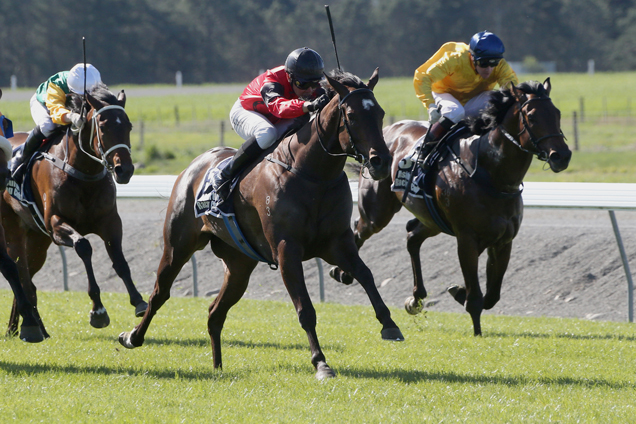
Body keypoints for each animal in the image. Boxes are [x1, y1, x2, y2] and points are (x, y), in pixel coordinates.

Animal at [2, 84, 147, 340]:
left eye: (128, 126)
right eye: (103, 127)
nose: (125, 170)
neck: (83, 174)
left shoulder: (110, 221)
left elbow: (120, 260)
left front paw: (138, 301)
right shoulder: (55, 224)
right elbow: (84, 246)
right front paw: (98, 311)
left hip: (37, 239)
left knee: (27, 278)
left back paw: (27, 327)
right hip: (13, 229)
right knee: (21, 274)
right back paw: (30, 327)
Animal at [120, 68, 402, 380]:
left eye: (379, 113)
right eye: (351, 115)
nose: (381, 161)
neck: (313, 175)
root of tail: (194, 165)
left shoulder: (337, 243)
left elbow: (365, 274)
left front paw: (389, 324)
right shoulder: (286, 250)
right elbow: (305, 309)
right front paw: (321, 363)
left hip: (239, 264)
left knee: (215, 312)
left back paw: (218, 367)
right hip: (177, 246)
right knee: (160, 293)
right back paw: (132, 337)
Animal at [328, 78, 572, 334]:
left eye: (557, 113)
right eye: (532, 116)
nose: (562, 155)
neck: (491, 174)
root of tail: (384, 134)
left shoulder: (503, 240)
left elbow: (492, 295)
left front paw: (459, 292)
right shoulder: (466, 239)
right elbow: (476, 297)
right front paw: (476, 329)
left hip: (431, 219)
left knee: (412, 236)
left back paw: (415, 298)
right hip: (378, 211)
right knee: (360, 228)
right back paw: (342, 271)